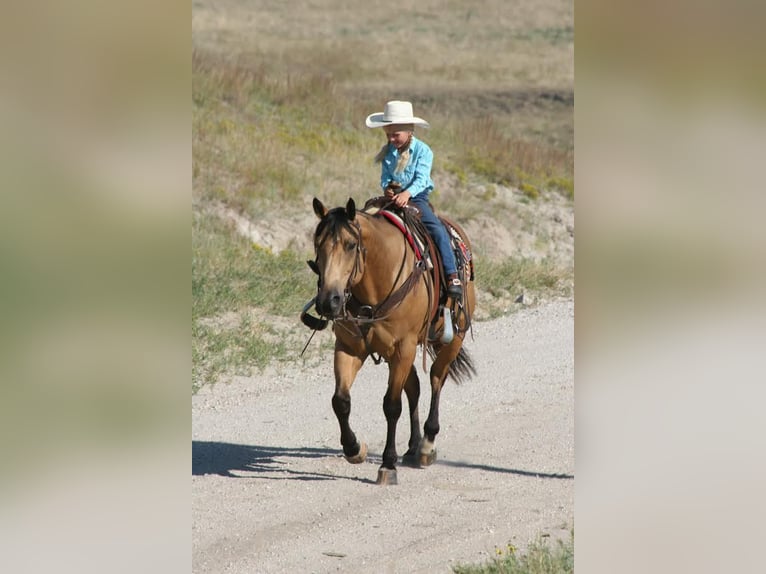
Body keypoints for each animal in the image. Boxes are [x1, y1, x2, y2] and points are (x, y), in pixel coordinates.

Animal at [304, 198, 476, 486]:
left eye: (350, 245)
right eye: (318, 244)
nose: (329, 301)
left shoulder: (403, 348)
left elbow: (391, 405)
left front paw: (387, 464)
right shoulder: (349, 348)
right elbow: (341, 400)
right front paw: (354, 449)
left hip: (454, 337)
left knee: (436, 378)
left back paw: (427, 445)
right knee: (415, 386)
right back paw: (413, 447)